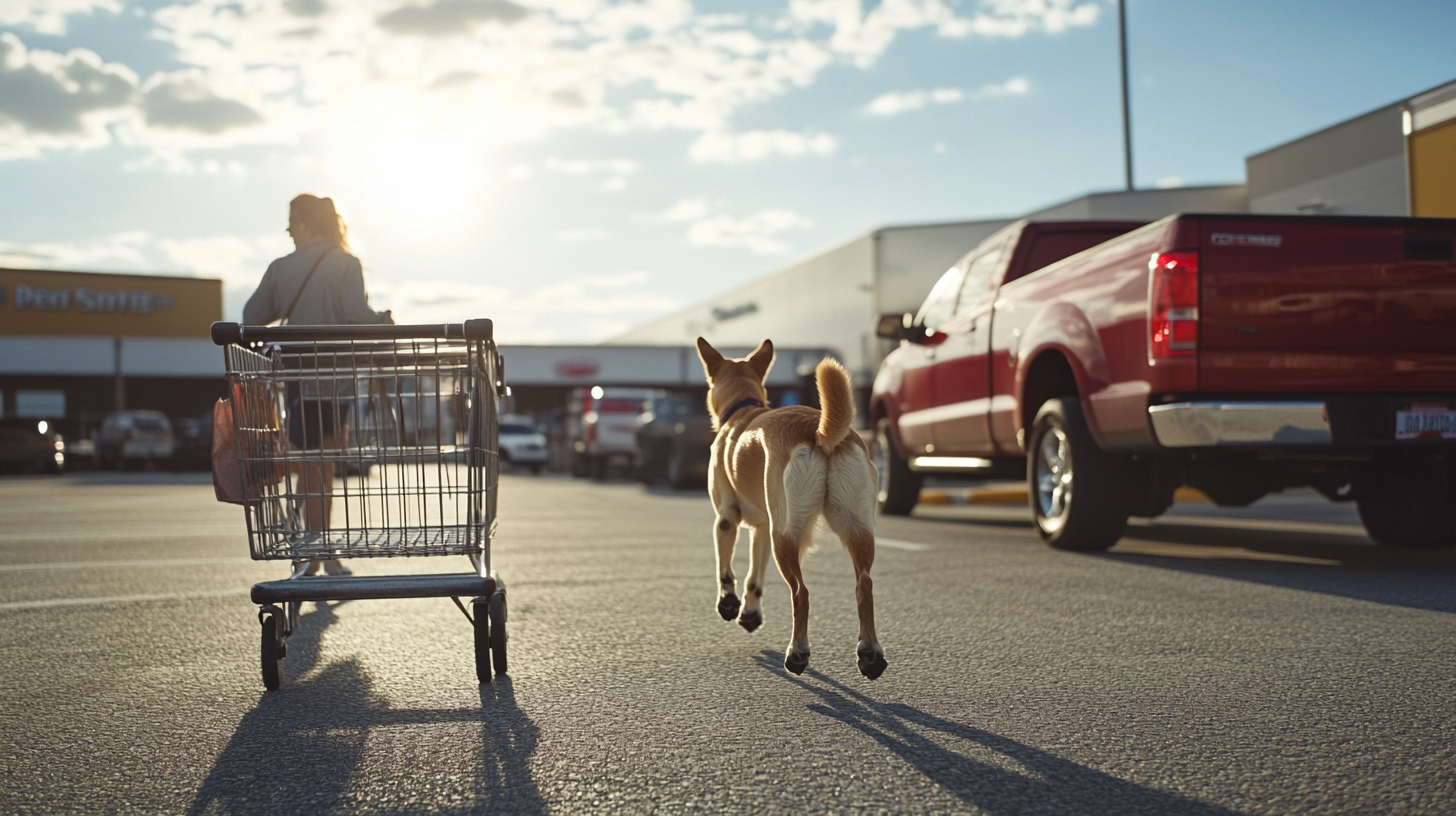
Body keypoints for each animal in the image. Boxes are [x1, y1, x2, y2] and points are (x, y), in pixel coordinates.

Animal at [695, 335, 885, 679]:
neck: (743, 411)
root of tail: (819, 431)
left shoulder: (726, 519)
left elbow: (726, 570)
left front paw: (729, 605)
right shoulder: (761, 527)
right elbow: (754, 578)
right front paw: (750, 613)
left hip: (785, 536)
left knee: (802, 593)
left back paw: (797, 653)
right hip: (855, 529)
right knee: (864, 586)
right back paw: (870, 655)